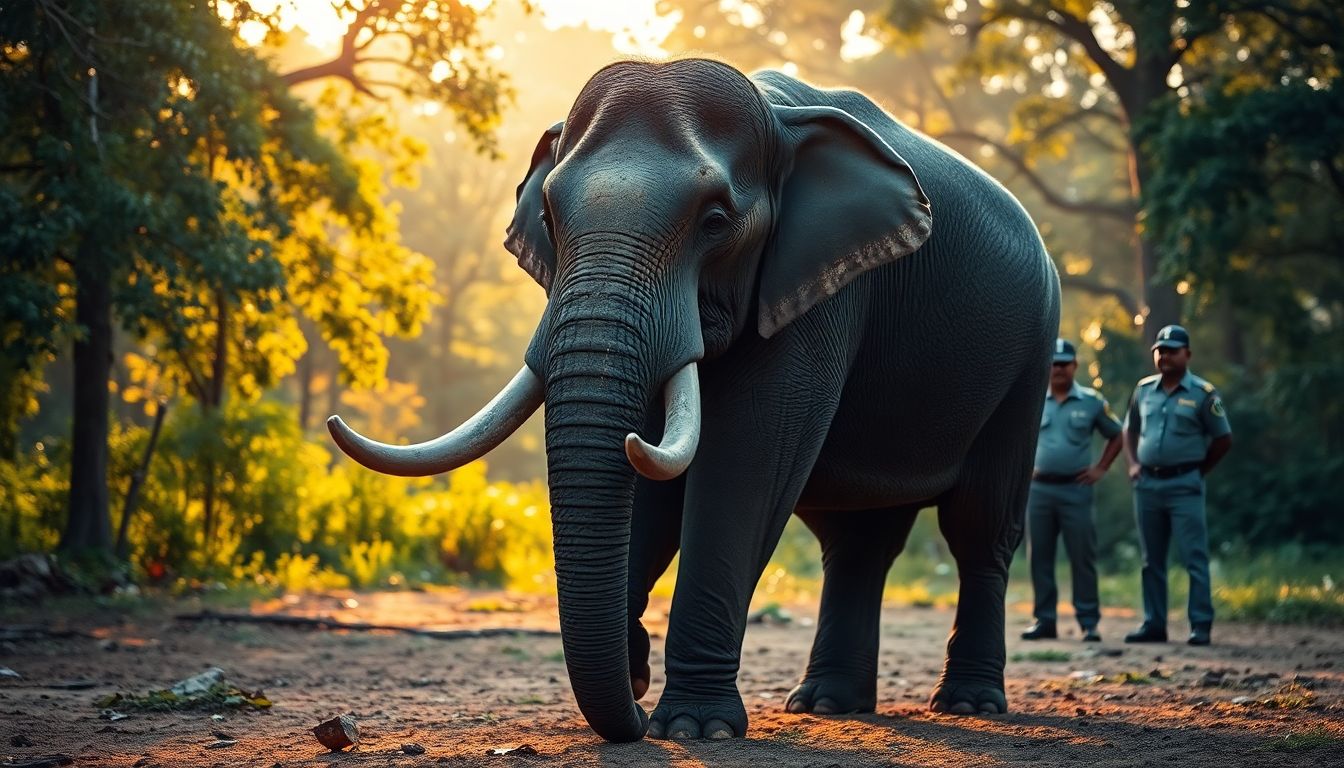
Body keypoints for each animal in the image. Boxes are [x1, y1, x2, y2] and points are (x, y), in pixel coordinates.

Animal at [328, 57, 1060, 743]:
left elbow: (742, 467)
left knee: (980, 529)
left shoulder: (820, 290)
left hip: (1030, 359)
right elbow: (654, 478)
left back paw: (965, 703)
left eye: (714, 222)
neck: (773, 120)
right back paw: (825, 705)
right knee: (856, 540)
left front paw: (690, 727)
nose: (631, 710)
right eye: (551, 219)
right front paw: (634, 679)